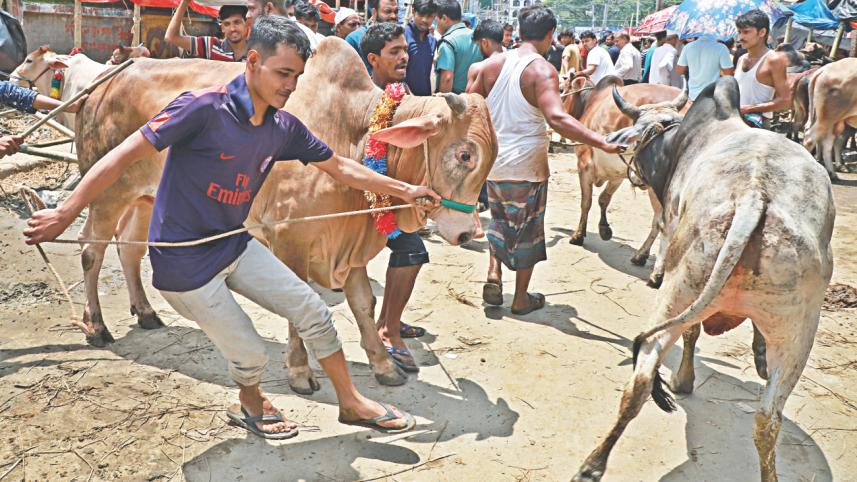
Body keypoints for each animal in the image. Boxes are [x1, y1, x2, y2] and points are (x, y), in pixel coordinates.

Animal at [562, 75, 687, 286]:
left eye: (562, 89)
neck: (592, 102)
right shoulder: (620, 173)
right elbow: (604, 199)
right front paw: (604, 229)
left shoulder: (584, 165)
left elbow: (586, 202)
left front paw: (578, 235)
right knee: (658, 222)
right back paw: (640, 256)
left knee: (666, 224)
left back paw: (657, 274)